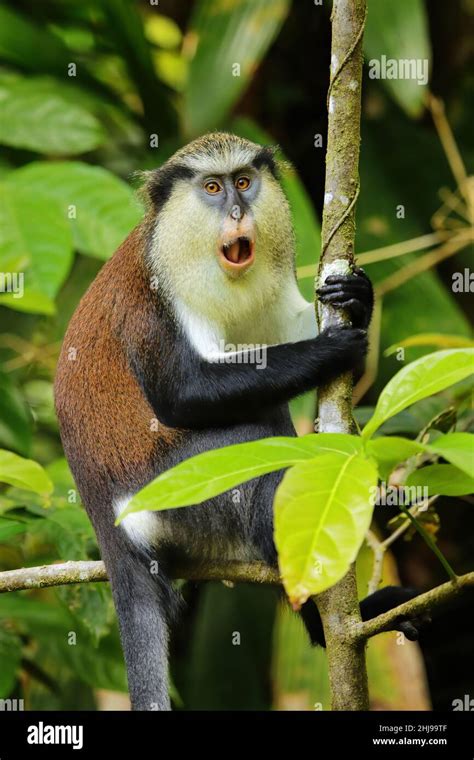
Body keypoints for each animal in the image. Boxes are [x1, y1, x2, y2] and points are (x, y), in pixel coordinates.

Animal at [53, 134, 420, 708]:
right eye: (211, 187)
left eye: (243, 181)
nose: (237, 211)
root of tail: (104, 520)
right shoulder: (153, 301)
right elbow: (184, 394)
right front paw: (331, 350)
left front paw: (358, 299)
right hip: (178, 497)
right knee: (258, 450)